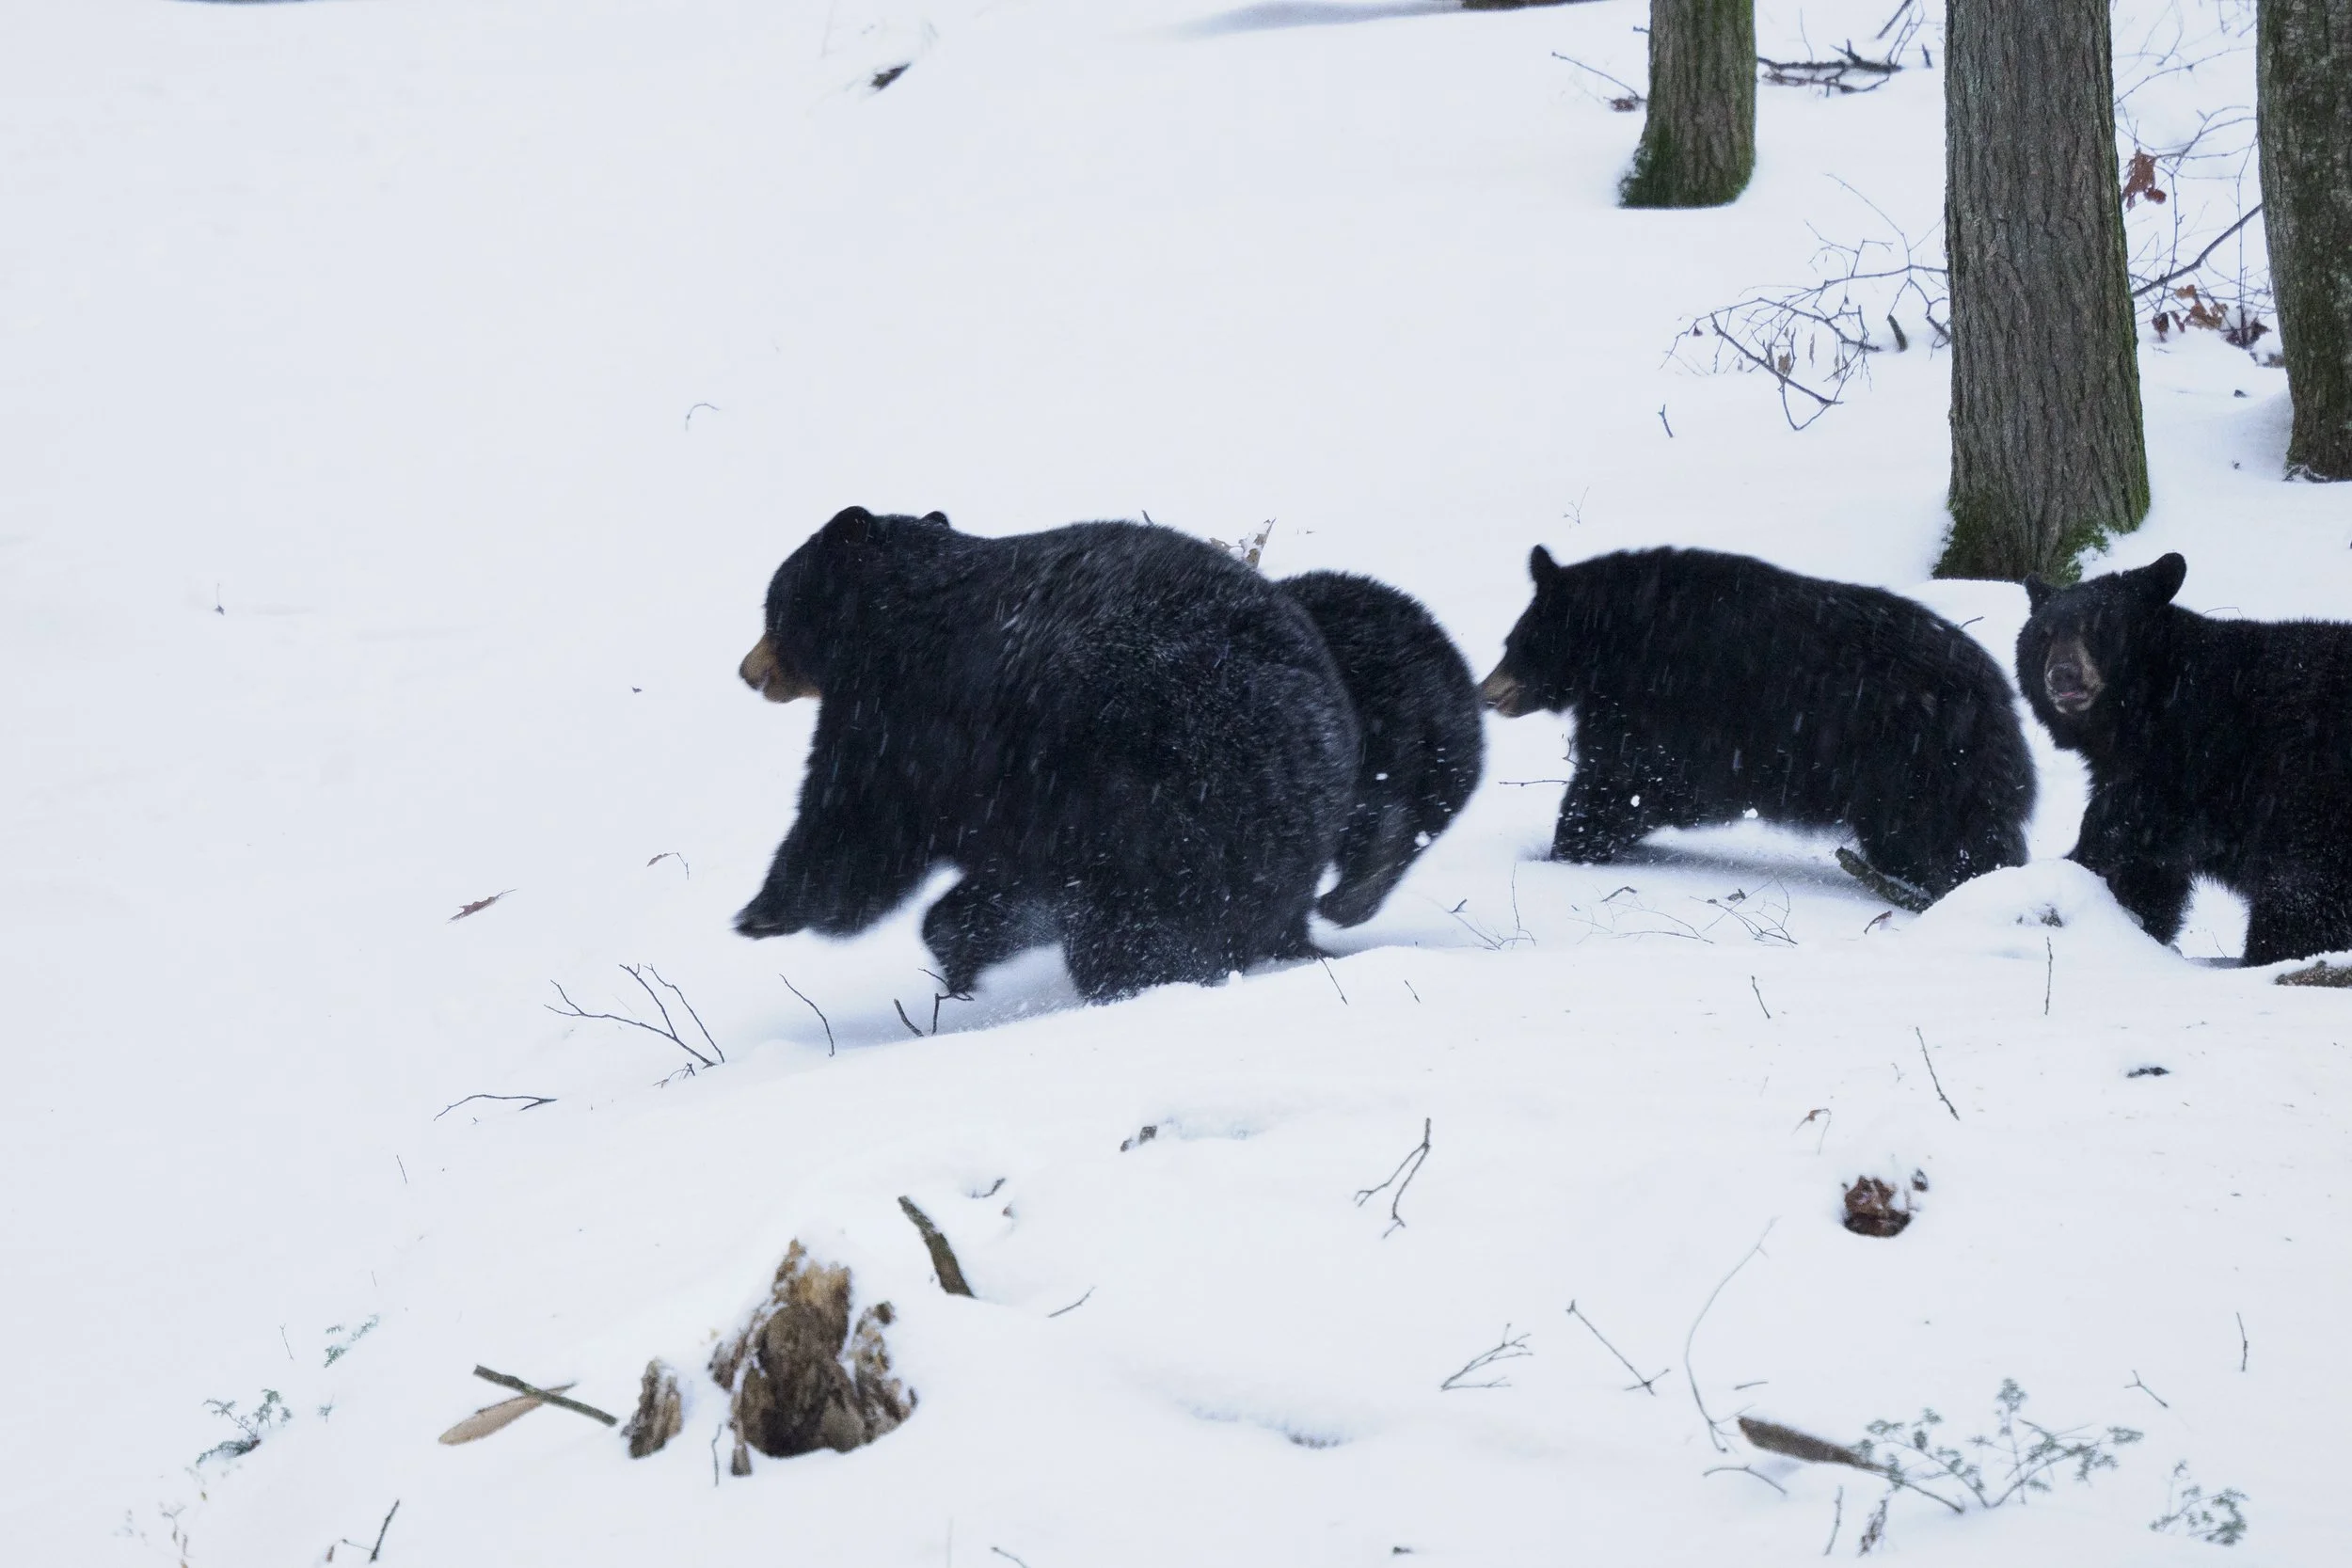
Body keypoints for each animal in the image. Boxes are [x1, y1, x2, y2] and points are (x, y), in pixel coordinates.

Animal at [733, 507, 1361, 1002]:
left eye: (773, 609)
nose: (747, 671)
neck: (887, 615)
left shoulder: (902, 711)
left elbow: (858, 824)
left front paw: (761, 911)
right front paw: (963, 949)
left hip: (1163, 804)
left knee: (1128, 925)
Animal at [1479, 545, 2034, 901]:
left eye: (1520, 642)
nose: (1486, 694)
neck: (1619, 644)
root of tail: (1999, 699)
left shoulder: (1668, 704)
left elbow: (1633, 778)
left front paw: (1567, 849)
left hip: (1913, 767)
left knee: (1934, 842)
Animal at [2018, 551, 2352, 966]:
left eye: (2097, 628)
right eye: (2044, 635)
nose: (2062, 674)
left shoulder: (2181, 767)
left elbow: (2119, 842)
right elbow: (2149, 872)